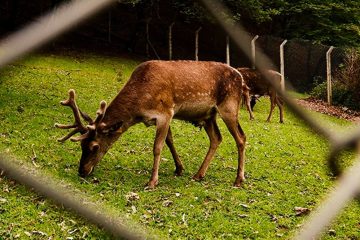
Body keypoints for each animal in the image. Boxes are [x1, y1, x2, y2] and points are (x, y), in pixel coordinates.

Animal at [56, 61, 248, 188]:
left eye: (95, 146)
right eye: (81, 145)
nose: (82, 170)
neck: (139, 106)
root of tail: (242, 78)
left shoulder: (165, 112)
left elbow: (157, 147)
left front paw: (152, 181)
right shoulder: (164, 117)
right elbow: (170, 141)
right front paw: (179, 169)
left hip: (229, 106)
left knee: (241, 138)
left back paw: (238, 179)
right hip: (208, 115)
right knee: (217, 138)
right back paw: (198, 175)